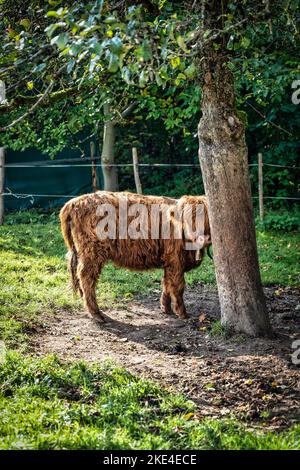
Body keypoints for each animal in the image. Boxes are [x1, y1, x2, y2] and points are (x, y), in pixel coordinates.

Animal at [59, 191, 211, 324]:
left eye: (206, 219)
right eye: (189, 219)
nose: (202, 238)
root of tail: (74, 202)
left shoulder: (169, 262)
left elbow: (166, 284)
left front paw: (165, 308)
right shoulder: (175, 261)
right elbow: (178, 286)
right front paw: (182, 313)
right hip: (92, 252)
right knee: (86, 278)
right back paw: (96, 314)